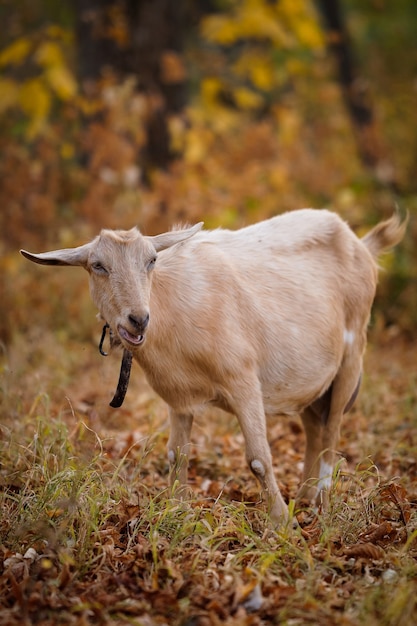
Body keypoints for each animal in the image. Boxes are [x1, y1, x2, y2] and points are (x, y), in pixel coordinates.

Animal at [21, 208, 404, 520]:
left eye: (151, 260)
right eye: (98, 265)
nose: (138, 319)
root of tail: (363, 245)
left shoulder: (243, 379)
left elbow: (258, 459)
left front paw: (281, 524)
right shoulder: (178, 398)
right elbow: (176, 455)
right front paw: (177, 511)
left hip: (352, 356)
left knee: (332, 430)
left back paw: (320, 502)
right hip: (314, 379)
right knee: (314, 426)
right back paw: (306, 498)